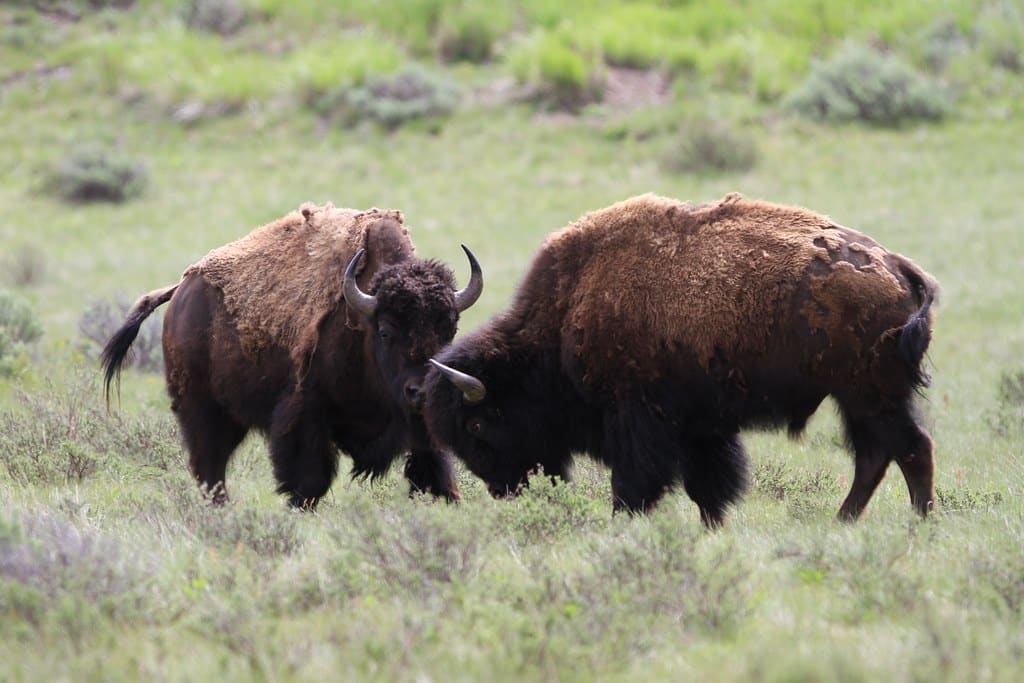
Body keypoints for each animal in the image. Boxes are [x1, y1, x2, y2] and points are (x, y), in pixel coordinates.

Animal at [103, 203, 482, 508]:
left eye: (450, 329)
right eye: (386, 331)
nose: (420, 391)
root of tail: (180, 290)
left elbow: (434, 466)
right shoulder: (304, 412)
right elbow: (308, 479)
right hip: (202, 409)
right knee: (210, 466)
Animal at [425, 193, 938, 526]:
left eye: (476, 424)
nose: (502, 488)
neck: (571, 303)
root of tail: (898, 267)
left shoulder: (638, 419)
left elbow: (635, 485)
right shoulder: (701, 428)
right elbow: (707, 485)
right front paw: (714, 527)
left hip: (868, 394)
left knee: (909, 449)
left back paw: (916, 523)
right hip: (861, 399)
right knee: (878, 455)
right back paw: (847, 521)